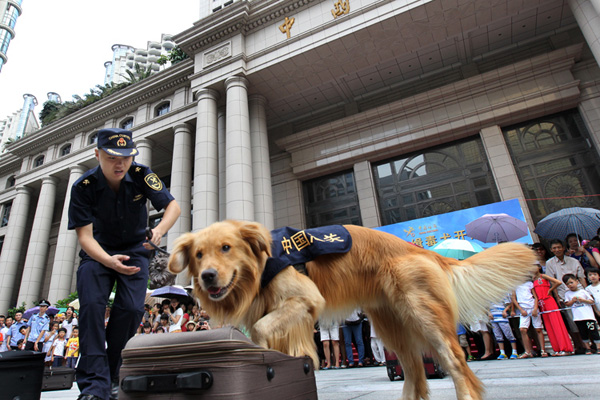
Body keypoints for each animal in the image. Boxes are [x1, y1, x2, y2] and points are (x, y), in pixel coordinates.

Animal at [168, 222, 536, 400]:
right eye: (198, 254)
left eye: (226, 248)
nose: (207, 277)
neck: (258, 269)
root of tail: (426, 251)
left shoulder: (306, 299)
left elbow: (259, 329)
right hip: (393, 328)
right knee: (415, 373)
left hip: (424, 319)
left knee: (457, 364)